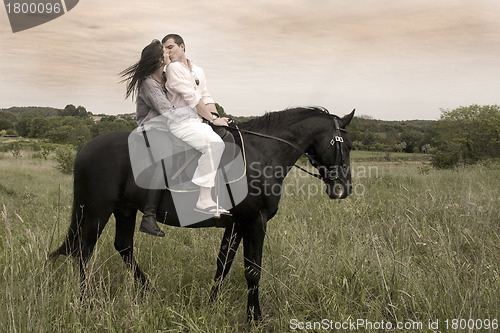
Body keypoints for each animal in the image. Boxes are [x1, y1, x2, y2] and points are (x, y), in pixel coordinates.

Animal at [49, 105, 356, 320]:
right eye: (343, 144)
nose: (344, 188)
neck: (262, 155)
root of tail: (85, 149)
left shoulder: (236, 224)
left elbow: (223, 265)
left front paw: (211, 304)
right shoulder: (254, 222)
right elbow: (253, 271)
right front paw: (254, 318)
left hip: (124, 211)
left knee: (123, 247)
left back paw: (149, 291)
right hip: (96, 212)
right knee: (84, 252)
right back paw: (87, 302)